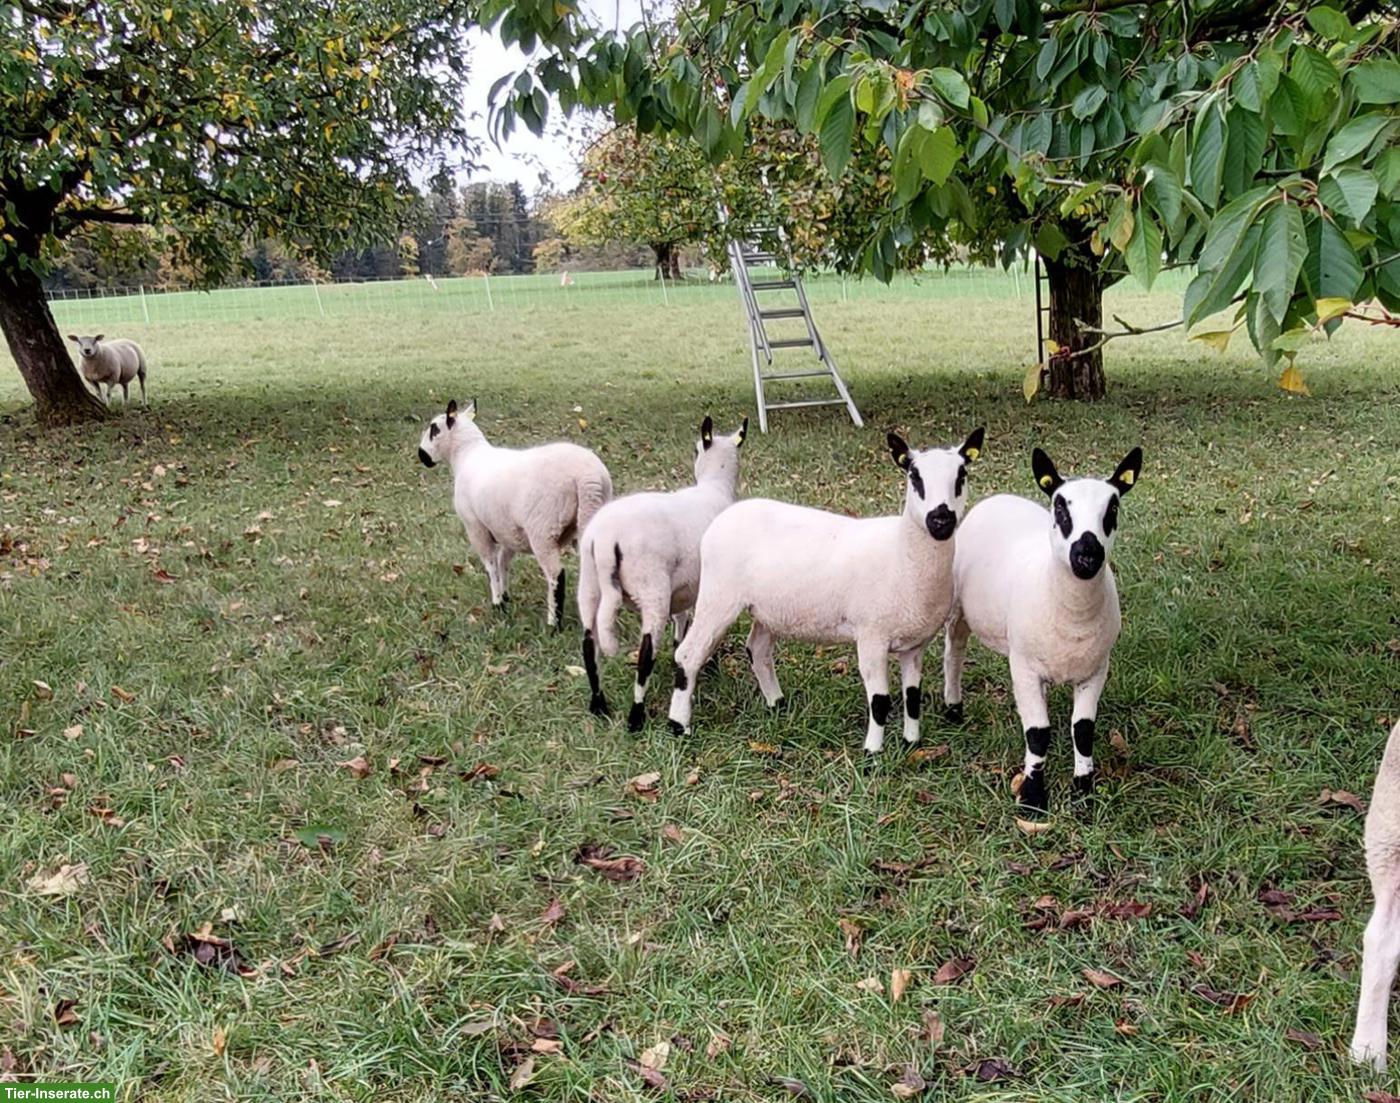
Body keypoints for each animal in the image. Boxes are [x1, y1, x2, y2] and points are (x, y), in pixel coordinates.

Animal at [417, 398, 613, 628]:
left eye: (434, 429)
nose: (421, 455)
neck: (466, 455)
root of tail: (588, 477)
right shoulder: (508, 530)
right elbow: (503, 561)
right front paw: (505, 596)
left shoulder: (476, 527)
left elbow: (491, 564)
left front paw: (497, 603)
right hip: (589, 519)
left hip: (543, 530)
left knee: (556, 574)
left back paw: (553, 624)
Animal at [578, 415, 747, 731]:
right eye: (696, 450)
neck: (715, 486)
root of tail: (606, 538)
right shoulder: (699, 586)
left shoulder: (683, 586)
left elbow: (681, 620)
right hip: (651, 587)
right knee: (645, 654)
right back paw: (636, 717)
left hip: (589, 583)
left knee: (588, 644)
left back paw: (599, 705)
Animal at [666, 428, 985, 753]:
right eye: (914, 476)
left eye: (961, 475)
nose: (941, 520)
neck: (902, 553)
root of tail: (724, 516)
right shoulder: (871, 636)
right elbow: (880, 702)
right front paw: (872, 753)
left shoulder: (914, 645)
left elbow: (912, 698)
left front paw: (911, 743)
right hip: (719, 594)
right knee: (688, 654)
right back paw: (678, 725)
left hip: (768, 609)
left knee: (757, 649)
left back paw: (777, 703)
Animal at [942, 445, 1143, 814]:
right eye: (1060, 507)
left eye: (1113, 507)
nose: (1087, 554)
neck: (1073, 614)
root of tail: (1000, 497)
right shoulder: (1023, 667)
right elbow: (1037, 733)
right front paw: (1033, 797)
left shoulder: (1096, 669)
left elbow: (1083, 730)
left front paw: (1084, 792)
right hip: (958, 608)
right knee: (954, 651)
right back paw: (953, 708)